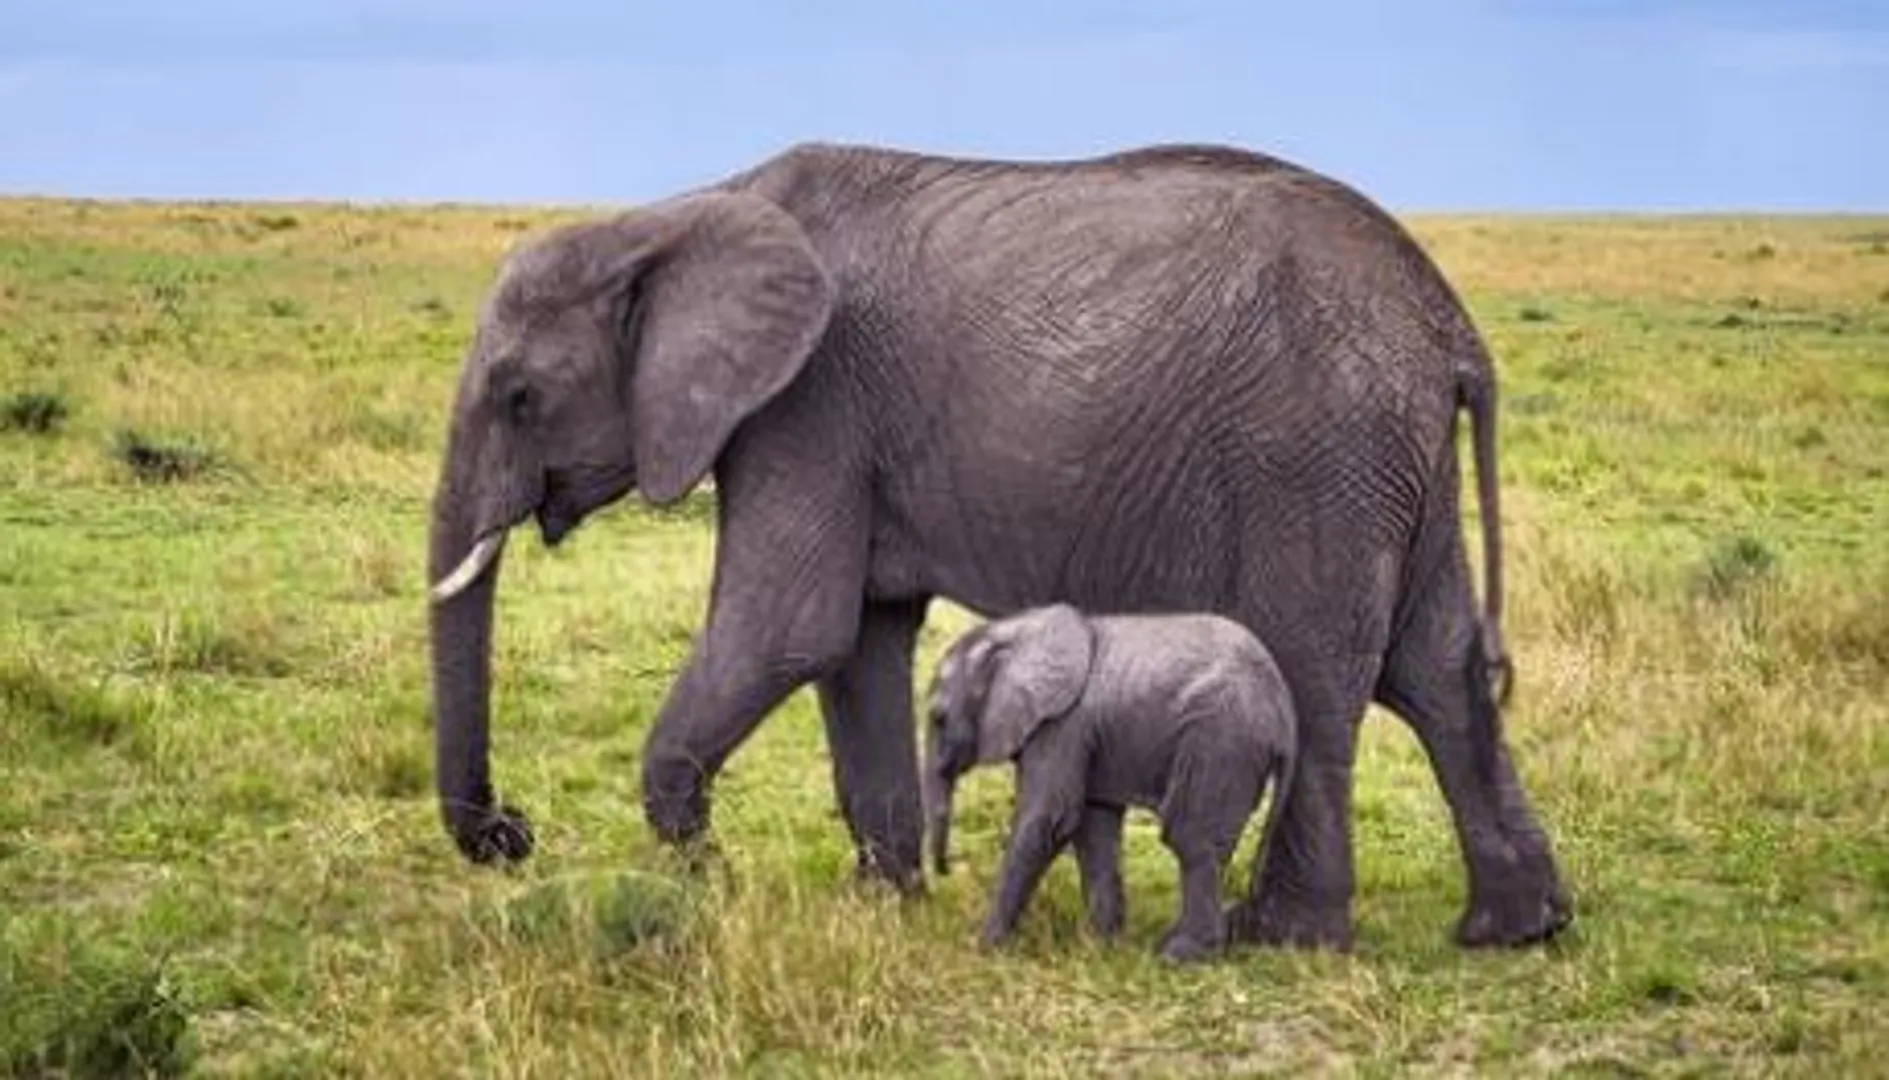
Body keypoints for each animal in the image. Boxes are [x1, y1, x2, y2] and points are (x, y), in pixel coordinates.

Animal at [921, 604, 1298, 963]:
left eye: (939, 718)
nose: (945, 870)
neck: (1013, 632)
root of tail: (1285, 711)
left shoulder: (1064, 724)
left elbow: (1048, 820)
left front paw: (983, 948)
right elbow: (1093, 827)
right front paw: (1102, 948)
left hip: (1221, 741)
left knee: (1190, 838)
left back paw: (1178, 955)